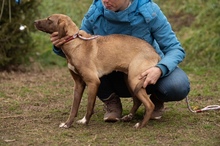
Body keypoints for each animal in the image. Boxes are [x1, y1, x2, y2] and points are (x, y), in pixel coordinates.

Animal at [34, 13, 162, 128]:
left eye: (49, 20)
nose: (34, 22)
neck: (75, 43)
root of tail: (155, 53)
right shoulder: (78, 84)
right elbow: (74, 108)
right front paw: (67, 124)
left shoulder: (93, 82)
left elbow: (89, 107)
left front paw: (84, 122)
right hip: (130, 80)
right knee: (137, 101)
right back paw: (129, 117)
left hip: (134, 80)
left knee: (149, 105)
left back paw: (141, 125)